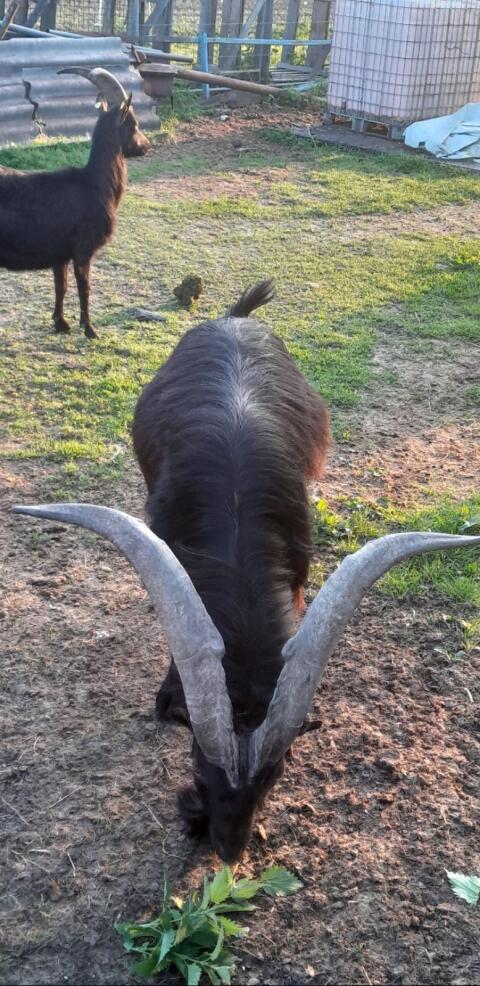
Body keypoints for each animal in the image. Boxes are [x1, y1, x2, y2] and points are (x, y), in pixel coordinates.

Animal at [0, 68, 149, 339]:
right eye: (134, 124)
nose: (146, 146)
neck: (94, 183)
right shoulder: (83, 250)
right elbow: (84, 288)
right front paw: (90, 329)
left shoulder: (60, 255)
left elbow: (62, 287)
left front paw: (61, 323)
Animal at [13, 282, 480, 862]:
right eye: (197, 765)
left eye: (274, 778)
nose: (228, 849)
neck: (234, 511)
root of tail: (233, 320)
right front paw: (167, 700)